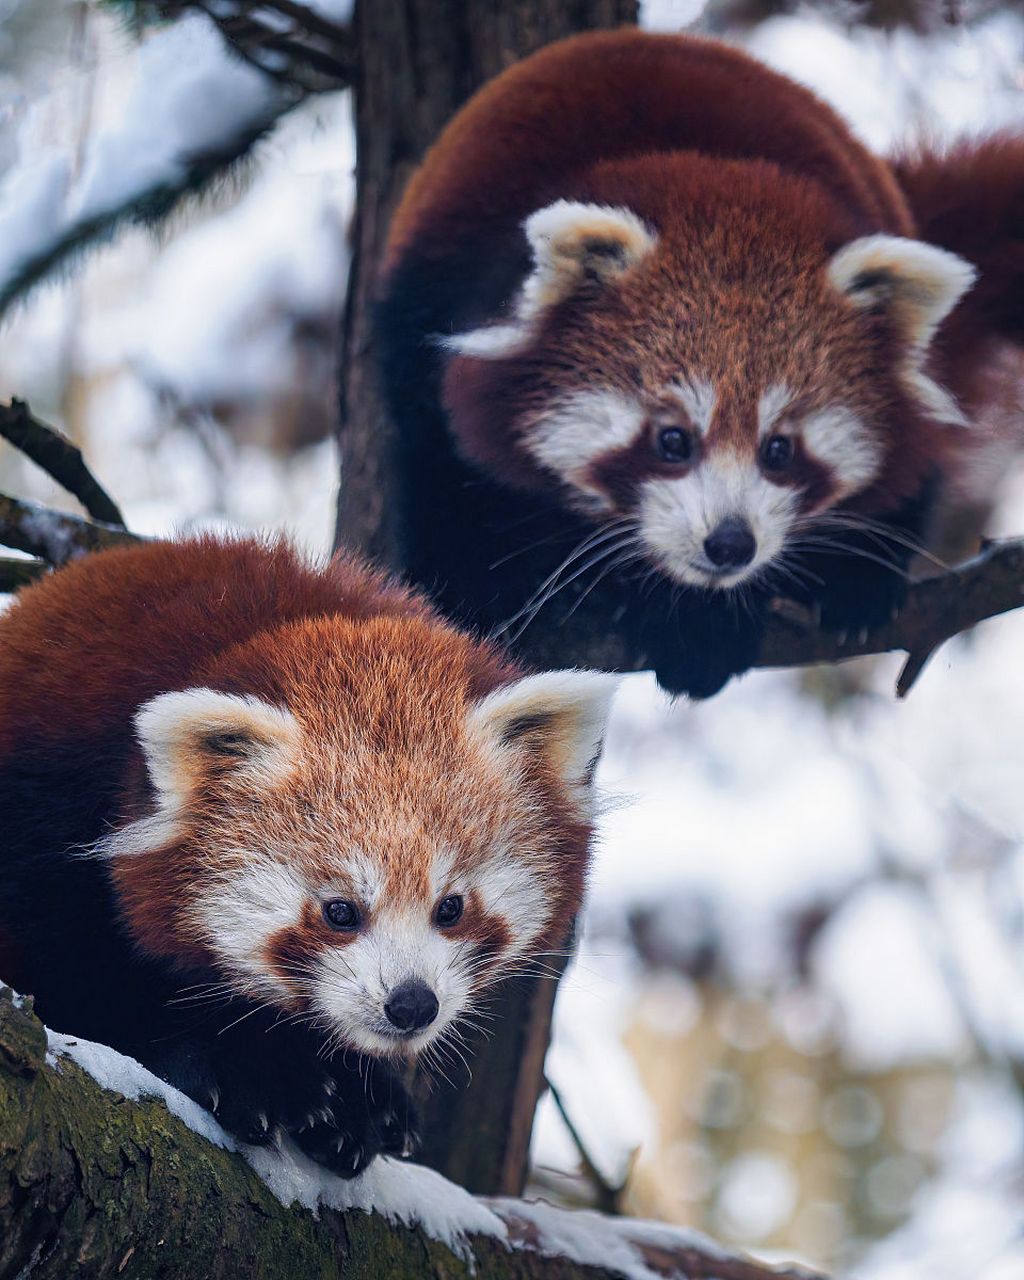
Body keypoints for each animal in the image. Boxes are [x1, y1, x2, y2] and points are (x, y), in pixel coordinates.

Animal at [0, 535, 616, 1172]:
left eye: (451, 907)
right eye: (339, 911)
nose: (411, 1004)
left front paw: (362, 1101)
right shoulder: (46, 807)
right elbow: (80, 969)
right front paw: (234, 1070)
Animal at [378, 24, 1024, 696]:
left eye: (779, 449)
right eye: (672, 440)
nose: (731, 543)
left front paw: (704, 627)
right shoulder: (433, 312)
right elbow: (446, 468)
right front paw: (473, 592)